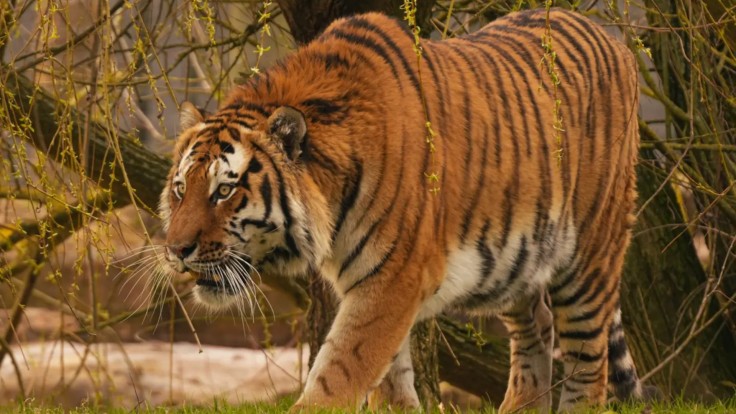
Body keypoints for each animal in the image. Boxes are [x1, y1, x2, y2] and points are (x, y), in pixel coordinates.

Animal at [159, 7, 651, 412]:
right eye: (181, 189)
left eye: (224, 191)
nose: (176, 251)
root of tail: (616, 41)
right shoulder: (374, 281)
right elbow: (388, 380)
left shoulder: (394, 278)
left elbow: (341, 369)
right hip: (518, 262)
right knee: (538, 327)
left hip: (590, 254)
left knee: (589, 361)